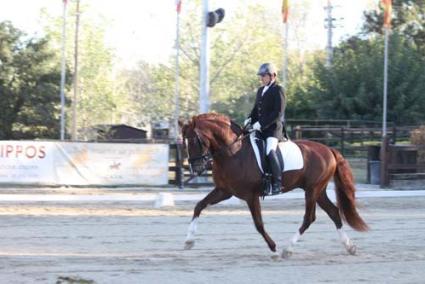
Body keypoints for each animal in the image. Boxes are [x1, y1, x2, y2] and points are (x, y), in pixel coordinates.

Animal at [181, 112, 366, 258]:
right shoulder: (224, 191)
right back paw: (350, 247)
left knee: (309, 218)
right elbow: (199, 206)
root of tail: (329, 150)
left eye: (194, 140)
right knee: (333, 212)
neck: (233, 153)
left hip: (312, 190)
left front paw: (274, 249)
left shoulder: (250, 196)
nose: (194, 168)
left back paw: (287, 249)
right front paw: (189, 241)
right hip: (318, 191)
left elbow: (259, 224)